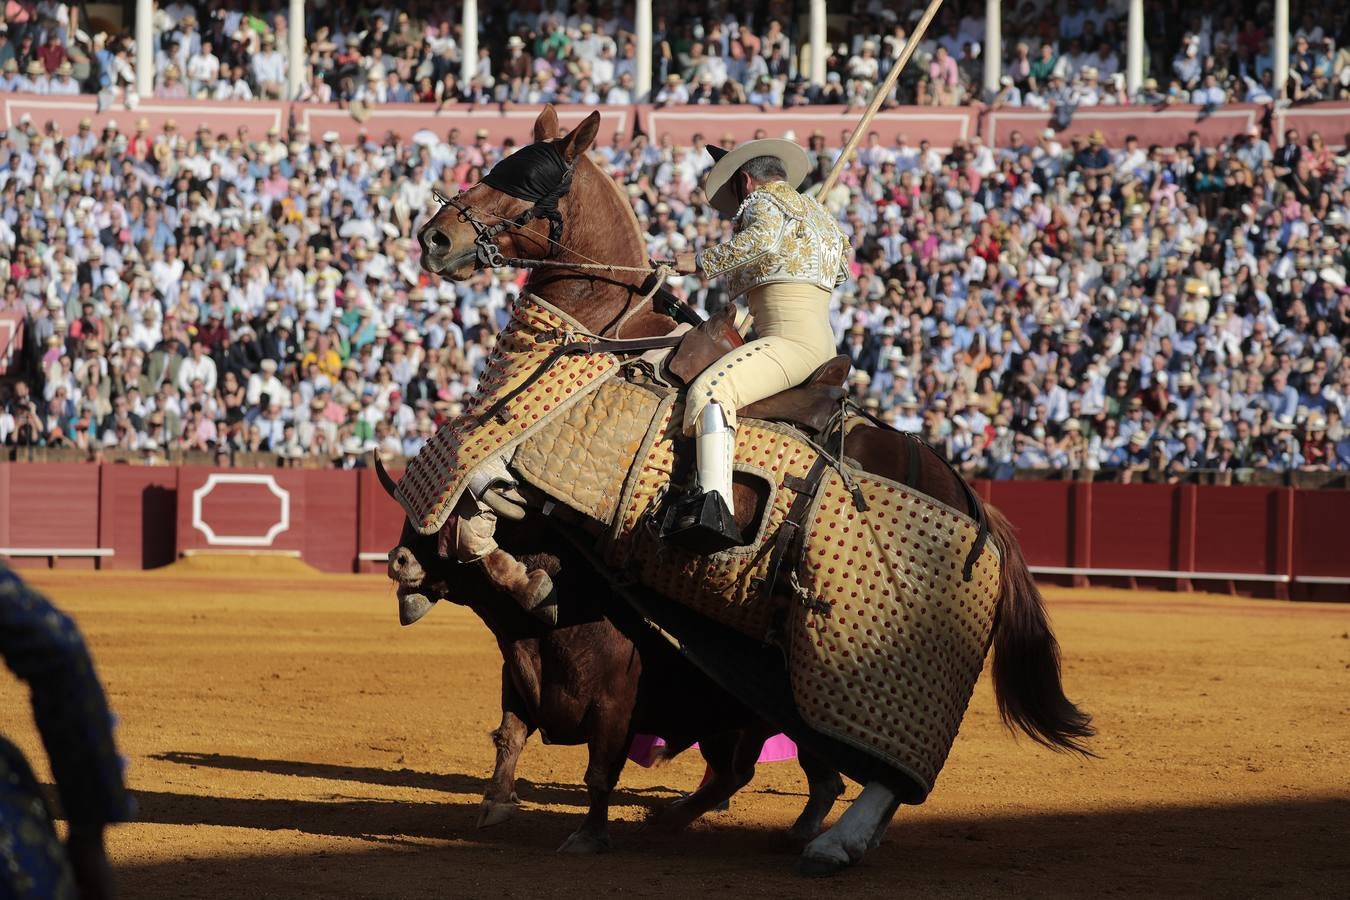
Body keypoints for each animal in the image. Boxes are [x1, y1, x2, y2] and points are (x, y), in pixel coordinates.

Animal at [405, 103, 1090, 874]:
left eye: (530, 181)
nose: (436, 237)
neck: (608, 333)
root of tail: (979, 507)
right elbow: (478, 502)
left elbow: (477, 493)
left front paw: (530, 584)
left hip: (879, 661)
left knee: (888, 770)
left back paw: (834, 842)